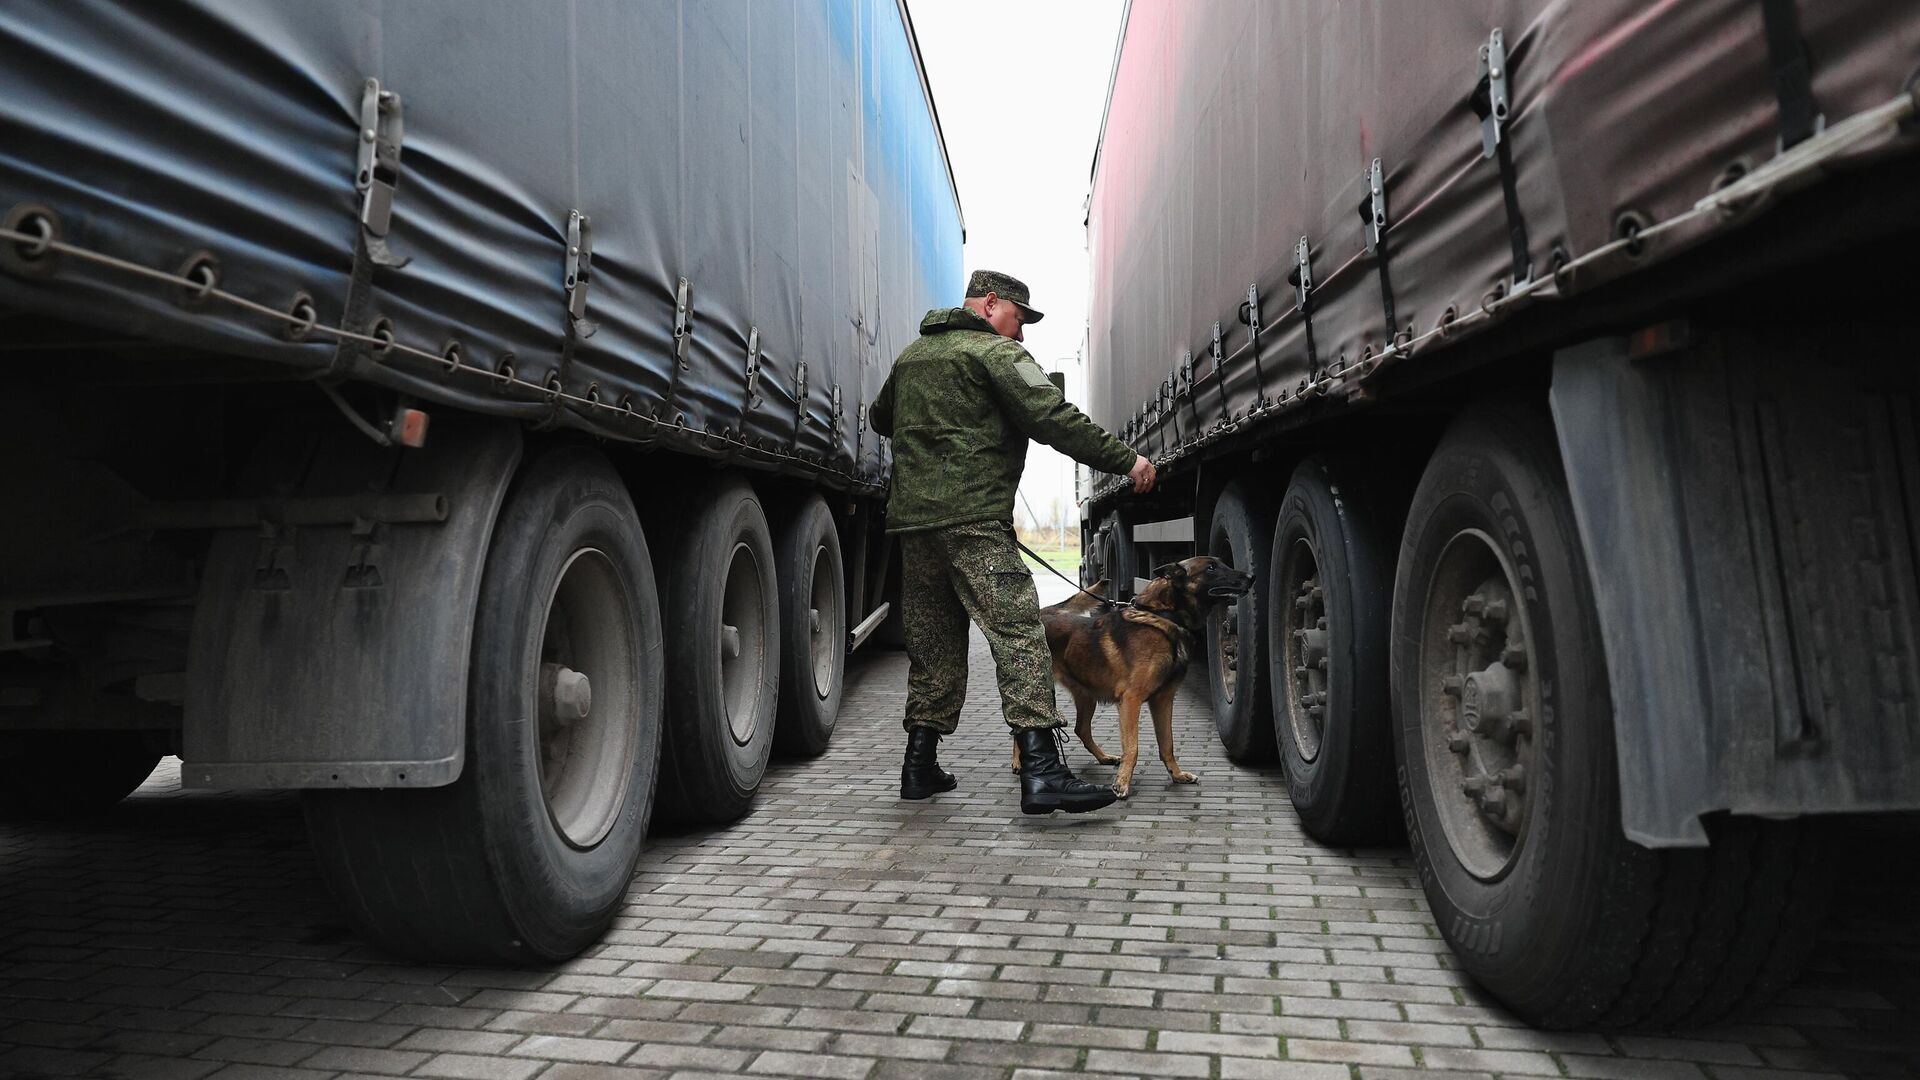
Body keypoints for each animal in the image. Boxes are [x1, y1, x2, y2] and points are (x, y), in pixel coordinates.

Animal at [1021, 557, 1259, 795]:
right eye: (1211, 568)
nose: (1251, 577)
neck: (1164, 616)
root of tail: (1043, 612)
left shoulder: (1163, 700)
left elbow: (1167, 744)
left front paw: (1177, 775)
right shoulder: (1130, 700)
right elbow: (1132, 748)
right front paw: (1122, 783)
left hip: (1086, 697)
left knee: (1081, 729)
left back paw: (1104, 757)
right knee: (1024, 727)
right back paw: (1018, 764)